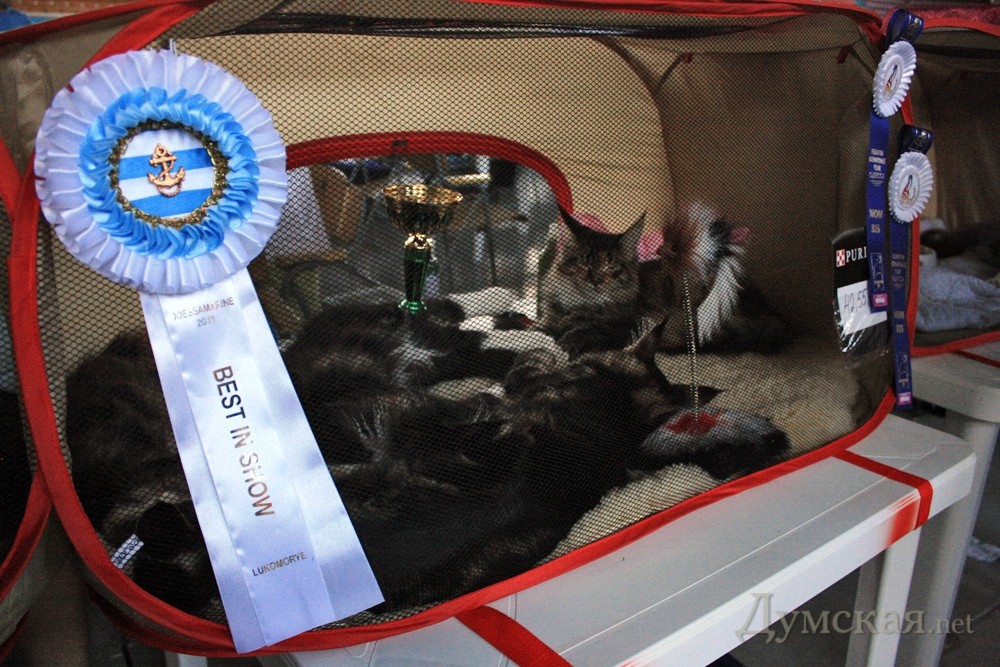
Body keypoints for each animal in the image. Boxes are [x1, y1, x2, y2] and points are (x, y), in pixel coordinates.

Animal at [529, 204, 788, 356]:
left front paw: (564, 344)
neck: (580, 305)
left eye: (612, 267)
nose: (595, 281)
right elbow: (544, 324)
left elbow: (585, 332)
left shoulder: (629, 323)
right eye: (583, 263)